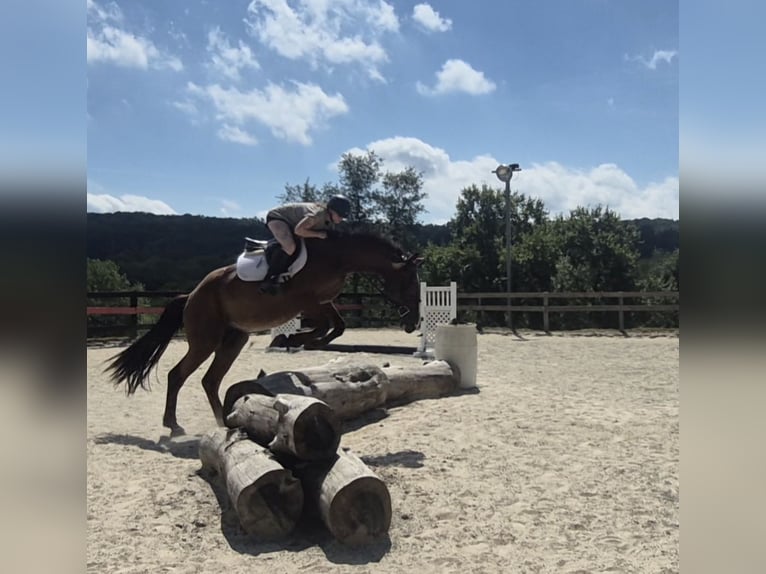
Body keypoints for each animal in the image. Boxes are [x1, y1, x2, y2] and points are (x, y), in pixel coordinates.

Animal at [106, 231, 423, 436]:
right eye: (409, 282)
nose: (413, 322)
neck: (338, 256)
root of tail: (191, 295)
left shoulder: (322, 302)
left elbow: (338, 327)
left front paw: (301, 342)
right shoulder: (307, 302)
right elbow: (325, 326)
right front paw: (291, 339)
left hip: (234, 340)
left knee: (210, 381)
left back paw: (224, 420)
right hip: (205, 341)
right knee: (177, 375)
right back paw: (173, 424)